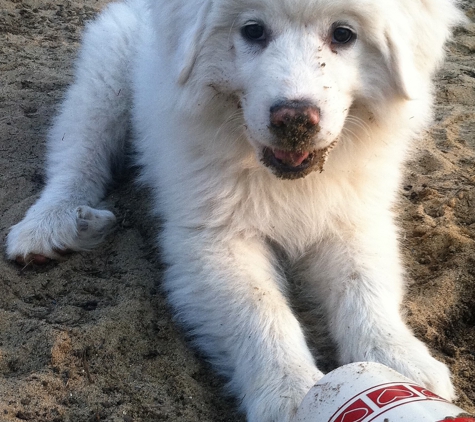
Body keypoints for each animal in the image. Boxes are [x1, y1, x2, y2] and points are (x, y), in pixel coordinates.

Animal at [5, 0, 466, 420]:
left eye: (343, 34)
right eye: (252, 31)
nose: (294, 119)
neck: (286, 179)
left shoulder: (354, 218)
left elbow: (364, 286)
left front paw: (402, 362)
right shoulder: (213, 238)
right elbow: (259, 311)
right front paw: (292, 393)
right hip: (104, 81)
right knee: (77, 157)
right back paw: (51, 226)